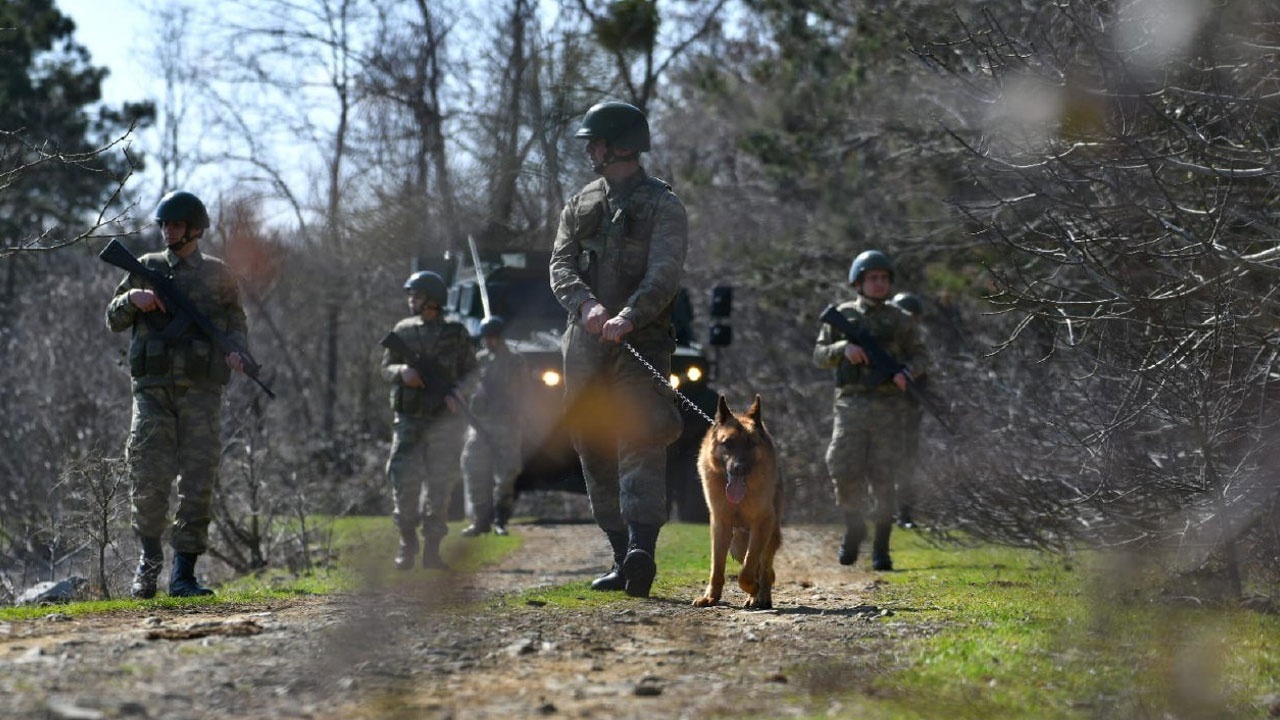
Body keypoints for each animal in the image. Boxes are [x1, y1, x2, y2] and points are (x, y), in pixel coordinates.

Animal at [691, 394, 778, 607]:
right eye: (728, 443)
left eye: (750, 443)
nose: (739, 468)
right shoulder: (720, 525)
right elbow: (716, 566)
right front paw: (711, 597)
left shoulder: (762, 524)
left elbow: (748, 569)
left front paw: (753, 588)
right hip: (738, 544)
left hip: (769, 534)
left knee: (764, 567)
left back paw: (761, 596)